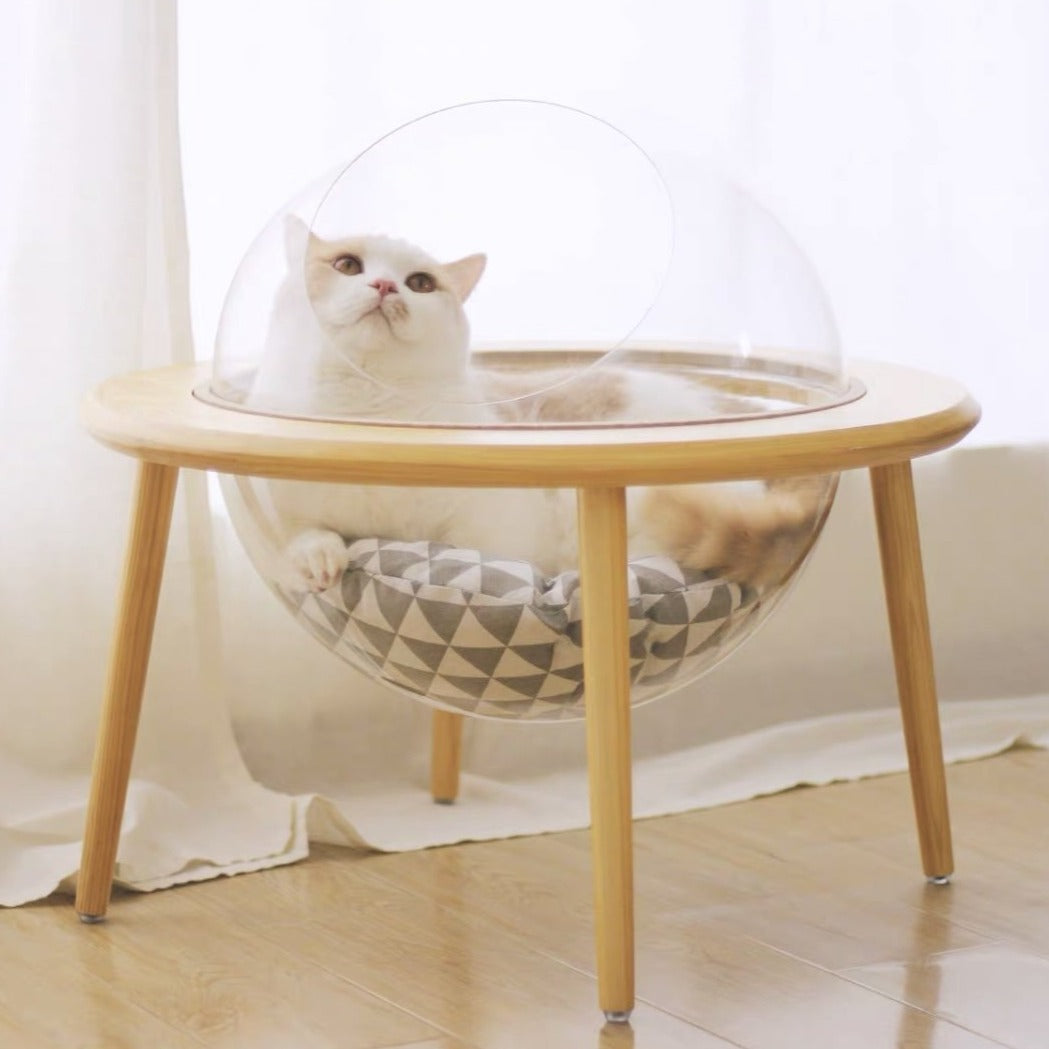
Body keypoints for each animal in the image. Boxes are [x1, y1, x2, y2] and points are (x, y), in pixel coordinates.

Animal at [246, 217, 831, 591]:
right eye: (347, 264)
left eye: (420, 283)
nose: (387, 285)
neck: (370, 406)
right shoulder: (281, 511)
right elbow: (304, 534)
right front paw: (320, 557)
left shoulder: (492, 526)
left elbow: (481, 553)